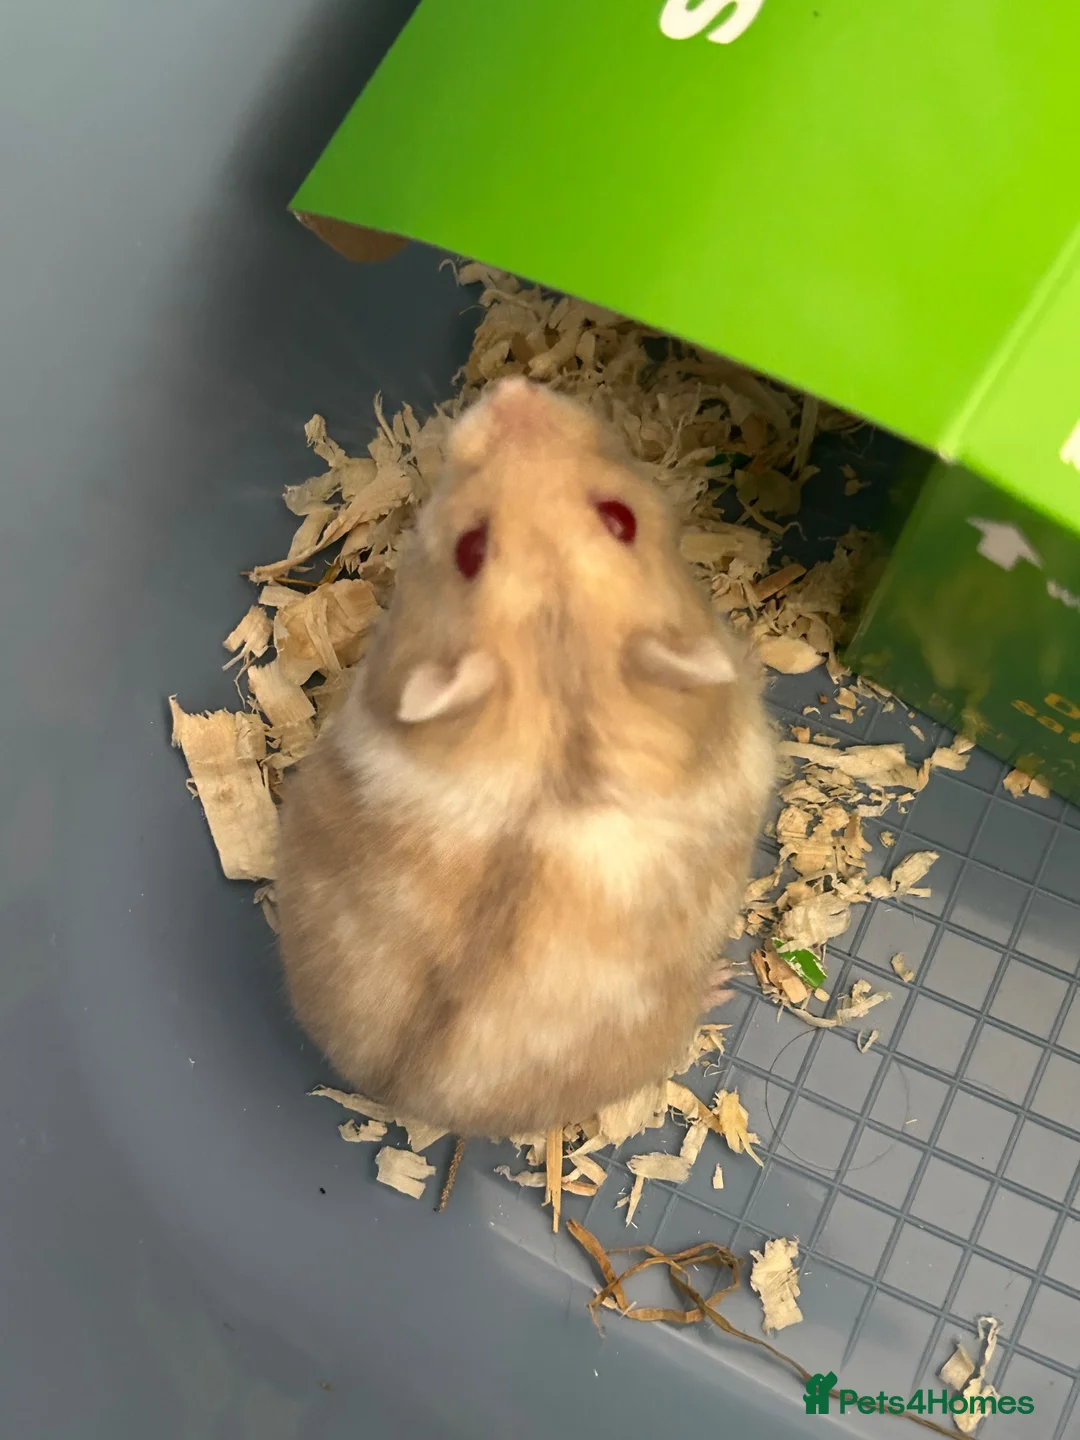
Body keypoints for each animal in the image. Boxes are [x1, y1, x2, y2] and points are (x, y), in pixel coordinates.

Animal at [276, 377, 775, 1138]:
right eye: (471, 547)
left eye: (619, 518)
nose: (512, 390)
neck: (559, 681)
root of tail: (411, 1096)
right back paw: (721, 983)